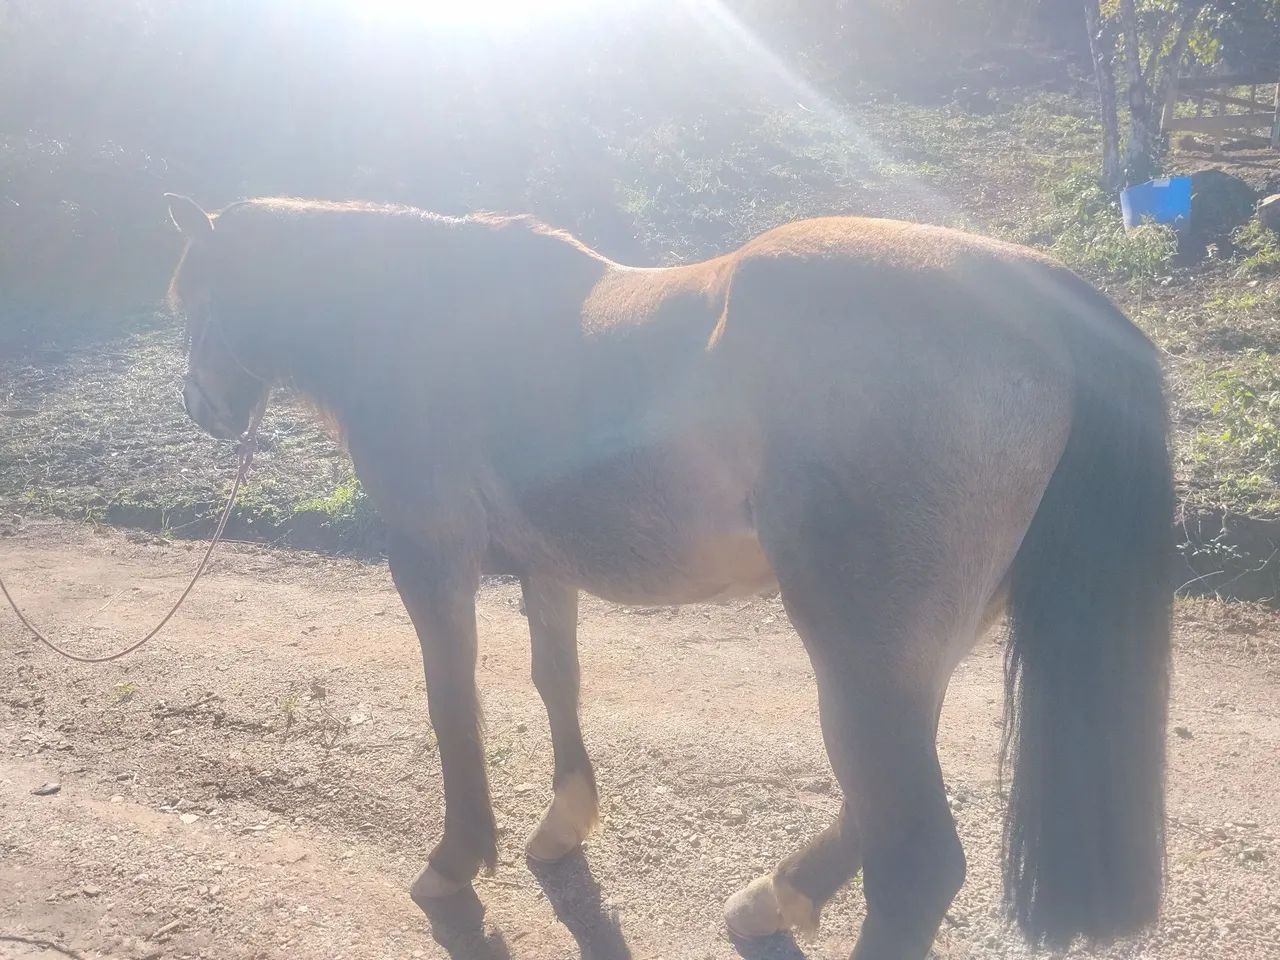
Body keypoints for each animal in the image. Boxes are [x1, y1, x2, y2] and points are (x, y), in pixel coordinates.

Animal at [164, 193, 1173, 959]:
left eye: (189, 295)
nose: (199, 406)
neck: (422, 318)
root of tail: (1049, 301)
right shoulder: (547, 567)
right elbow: (556, 679)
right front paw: (563, 825)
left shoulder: (430, 558)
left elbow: (453, 703)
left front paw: (455, 861)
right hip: (918, 653)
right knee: (876, 805)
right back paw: (770, 899)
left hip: (862, 652)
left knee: (917, 861)